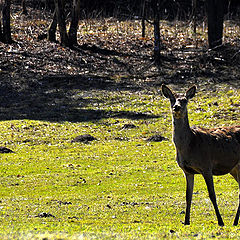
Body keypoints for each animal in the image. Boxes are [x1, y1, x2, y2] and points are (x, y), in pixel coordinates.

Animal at [161, 85, 240, 227]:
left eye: (185, 100)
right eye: (172, 99)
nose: (176, 107)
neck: (190, 145)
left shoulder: (206, 165)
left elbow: (212, 194)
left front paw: (220, 221)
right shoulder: (187, 171)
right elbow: (188, 196)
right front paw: (186, 221)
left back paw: (235, 221)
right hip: (234, 169)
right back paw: (235, 221)